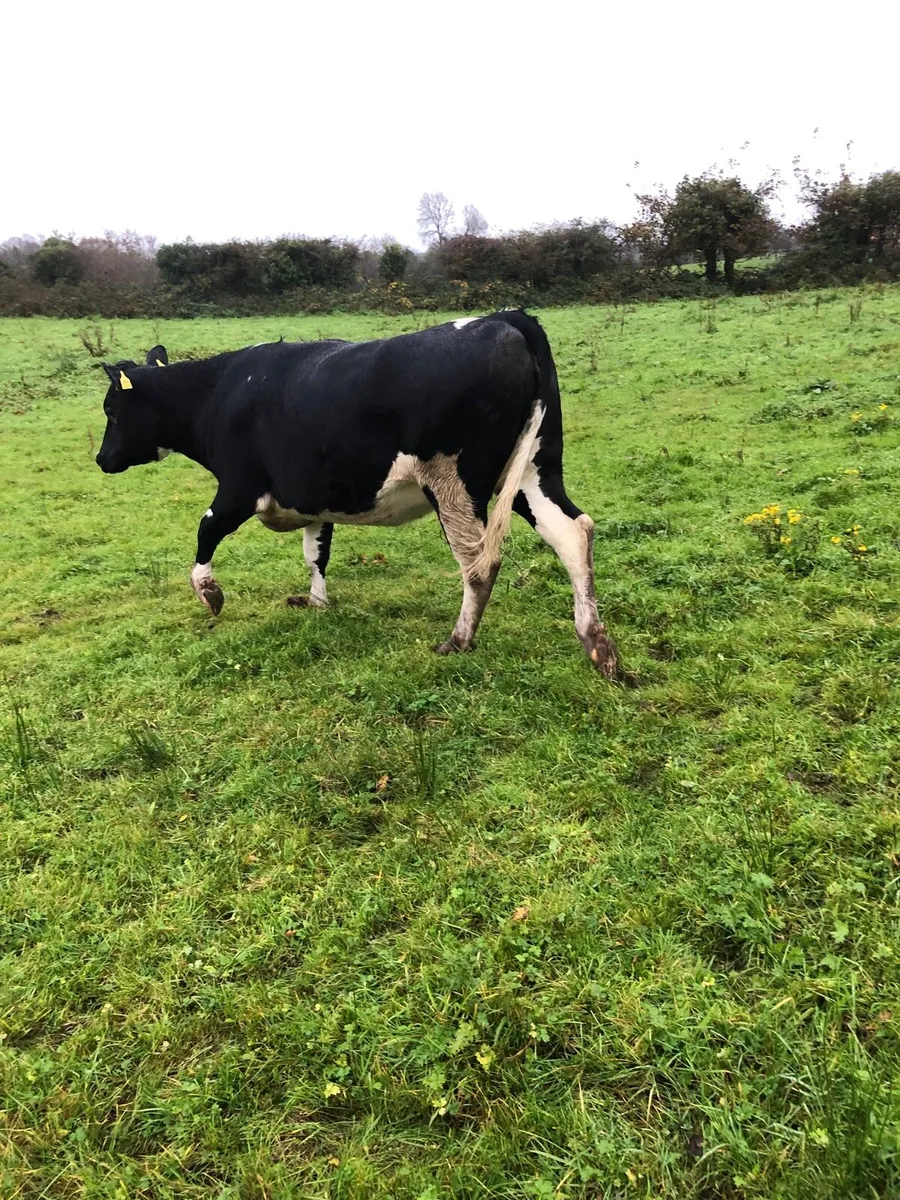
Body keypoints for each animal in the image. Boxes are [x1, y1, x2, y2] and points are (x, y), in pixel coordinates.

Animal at [95, 311, 619, 676]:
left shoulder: (239, 486)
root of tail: (505, 318)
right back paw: (597, 644)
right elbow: (316, 552)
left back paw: (459, 640)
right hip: (534, 470)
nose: (101, 459)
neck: (219, 393)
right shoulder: (313, 496)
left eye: (111, 411)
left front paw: (210, 594)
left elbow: (205, 532)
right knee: (573, 533)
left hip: (454, 481)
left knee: (479, 562)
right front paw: (317, 602)